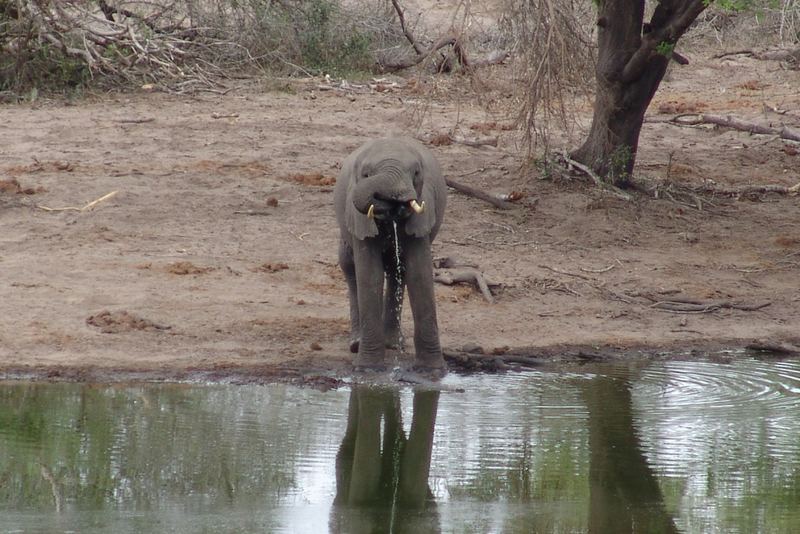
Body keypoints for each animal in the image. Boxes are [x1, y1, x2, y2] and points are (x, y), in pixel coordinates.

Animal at [332, 138, 450, 372]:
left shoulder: (424, 210)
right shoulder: (359, 219)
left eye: (416, 172)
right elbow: (370, 276)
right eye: (366, 174)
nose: (393, 202)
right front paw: (367, 369)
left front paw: (433, 371)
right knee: (350, 268)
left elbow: (420, 275)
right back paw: (356, 344)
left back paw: (394, 345)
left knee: (399, 271)